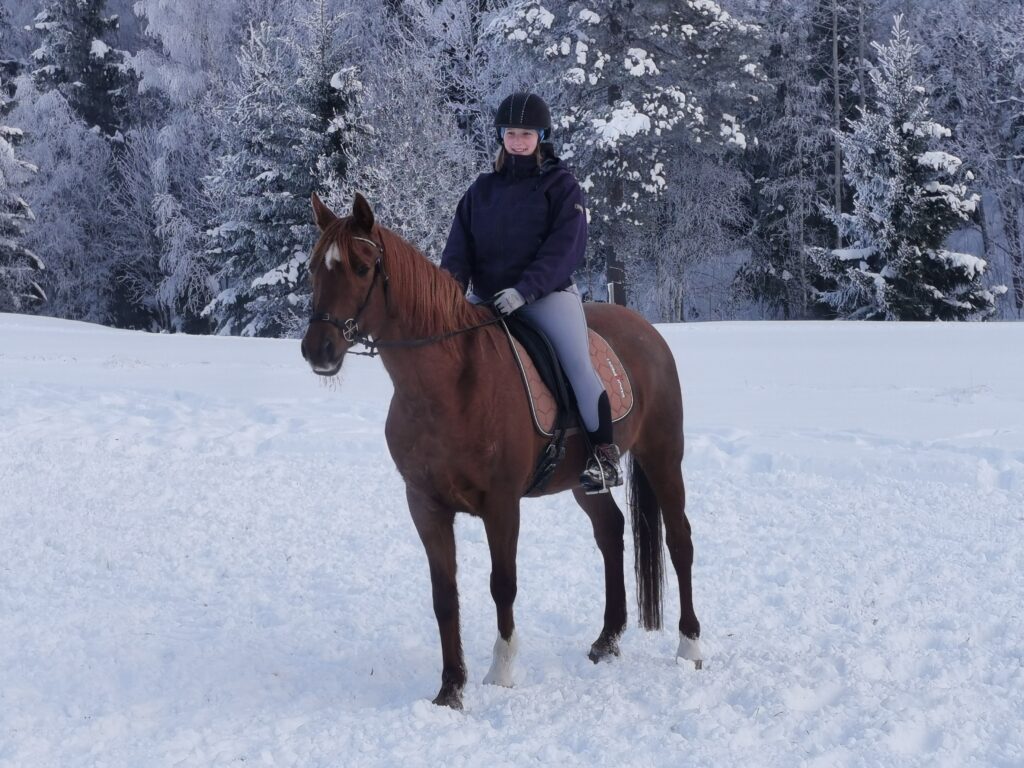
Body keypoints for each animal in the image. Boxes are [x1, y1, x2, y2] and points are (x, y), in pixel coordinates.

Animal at [299, 192, 700, 708]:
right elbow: (444, 595)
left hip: (663, 456)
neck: (449, 385)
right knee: (611, 532)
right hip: (582, 481)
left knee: (680, 540)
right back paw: (607, 640)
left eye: (362, 266)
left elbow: (502, 584)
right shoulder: (424, 504)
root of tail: (646, 329)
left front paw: (502, 671)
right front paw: (451, 688)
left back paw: (690, 644)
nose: (318, 350)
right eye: (314, 267)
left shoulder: (502, 503)